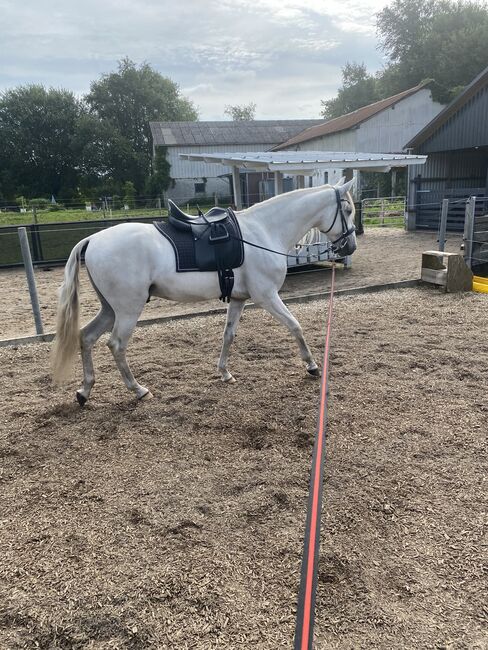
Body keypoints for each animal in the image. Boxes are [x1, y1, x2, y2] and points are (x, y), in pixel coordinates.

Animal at [51, 177, 356, 400]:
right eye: (348, 210)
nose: (350, 246)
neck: (263, 230)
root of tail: (93, 239)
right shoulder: (267, 296)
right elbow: (295, 326)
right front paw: (312, 366)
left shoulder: (239, 299)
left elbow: (228, 335)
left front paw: (224, 372)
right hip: (127, 310)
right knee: (116, 345)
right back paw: (138, 390)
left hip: (110, 309)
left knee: (86, 337)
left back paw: (85, 390)